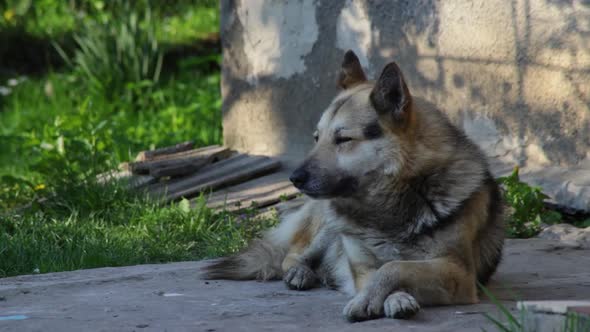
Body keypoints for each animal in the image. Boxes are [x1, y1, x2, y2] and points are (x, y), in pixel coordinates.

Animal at [205, 50, 508, 322]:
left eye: (343, 139)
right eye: (317, 137)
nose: (295, 178)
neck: (388, 207)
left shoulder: (458, 272)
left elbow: (395, 266)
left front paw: (386, 298)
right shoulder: (362, 268)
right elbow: (377, 274)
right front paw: (385, 298)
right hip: (325, 226)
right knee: (292, 255)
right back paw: (301, 273)